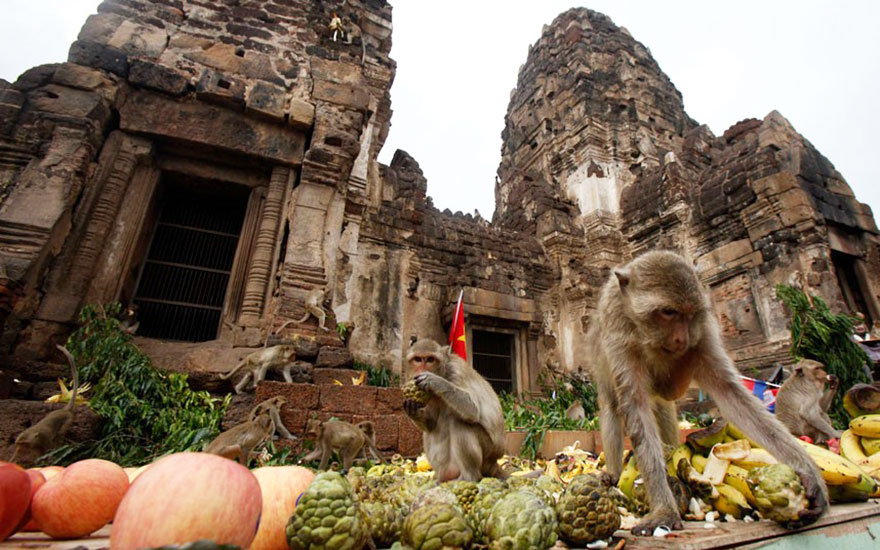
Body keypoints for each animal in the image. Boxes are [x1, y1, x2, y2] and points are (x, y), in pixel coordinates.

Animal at [404, 340, 506, 484]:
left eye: (430, 359)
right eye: (417, 359)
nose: (422, 369)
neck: (444, 372)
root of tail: (494, 463)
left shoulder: (456, 372)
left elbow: (472, 410)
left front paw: (435, 381)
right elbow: (431, 423)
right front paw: (412, 409)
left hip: (489, 452)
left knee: (459, 422)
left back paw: (470, 477)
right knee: (429, 432)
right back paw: (442, 478)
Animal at [588, 254, 828, 540]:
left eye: (690, 313)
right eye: (668, 312)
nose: (682, 340)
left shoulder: (702, 332)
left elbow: (731, 393)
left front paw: (809, 474)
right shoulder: (619, 337)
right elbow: (634, 406)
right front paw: (664, 509)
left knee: (664, 405)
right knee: (612, 406)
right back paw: (614, 474)